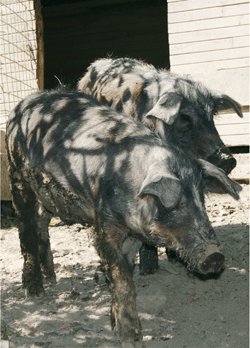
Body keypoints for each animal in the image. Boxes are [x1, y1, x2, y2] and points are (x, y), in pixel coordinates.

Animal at [5, 90, 240, 348]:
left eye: (201, 199)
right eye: (174, 202)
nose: (214, 255)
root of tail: (24, 103)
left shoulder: (135, 235)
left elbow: (124, 272)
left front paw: (114, 325)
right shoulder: (103, 227)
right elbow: (123, 278)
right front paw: (132, 340)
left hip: (47, 196)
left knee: (40, 222)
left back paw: (52, 279)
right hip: (17, 176)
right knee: (25, 229)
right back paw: (35, 291)